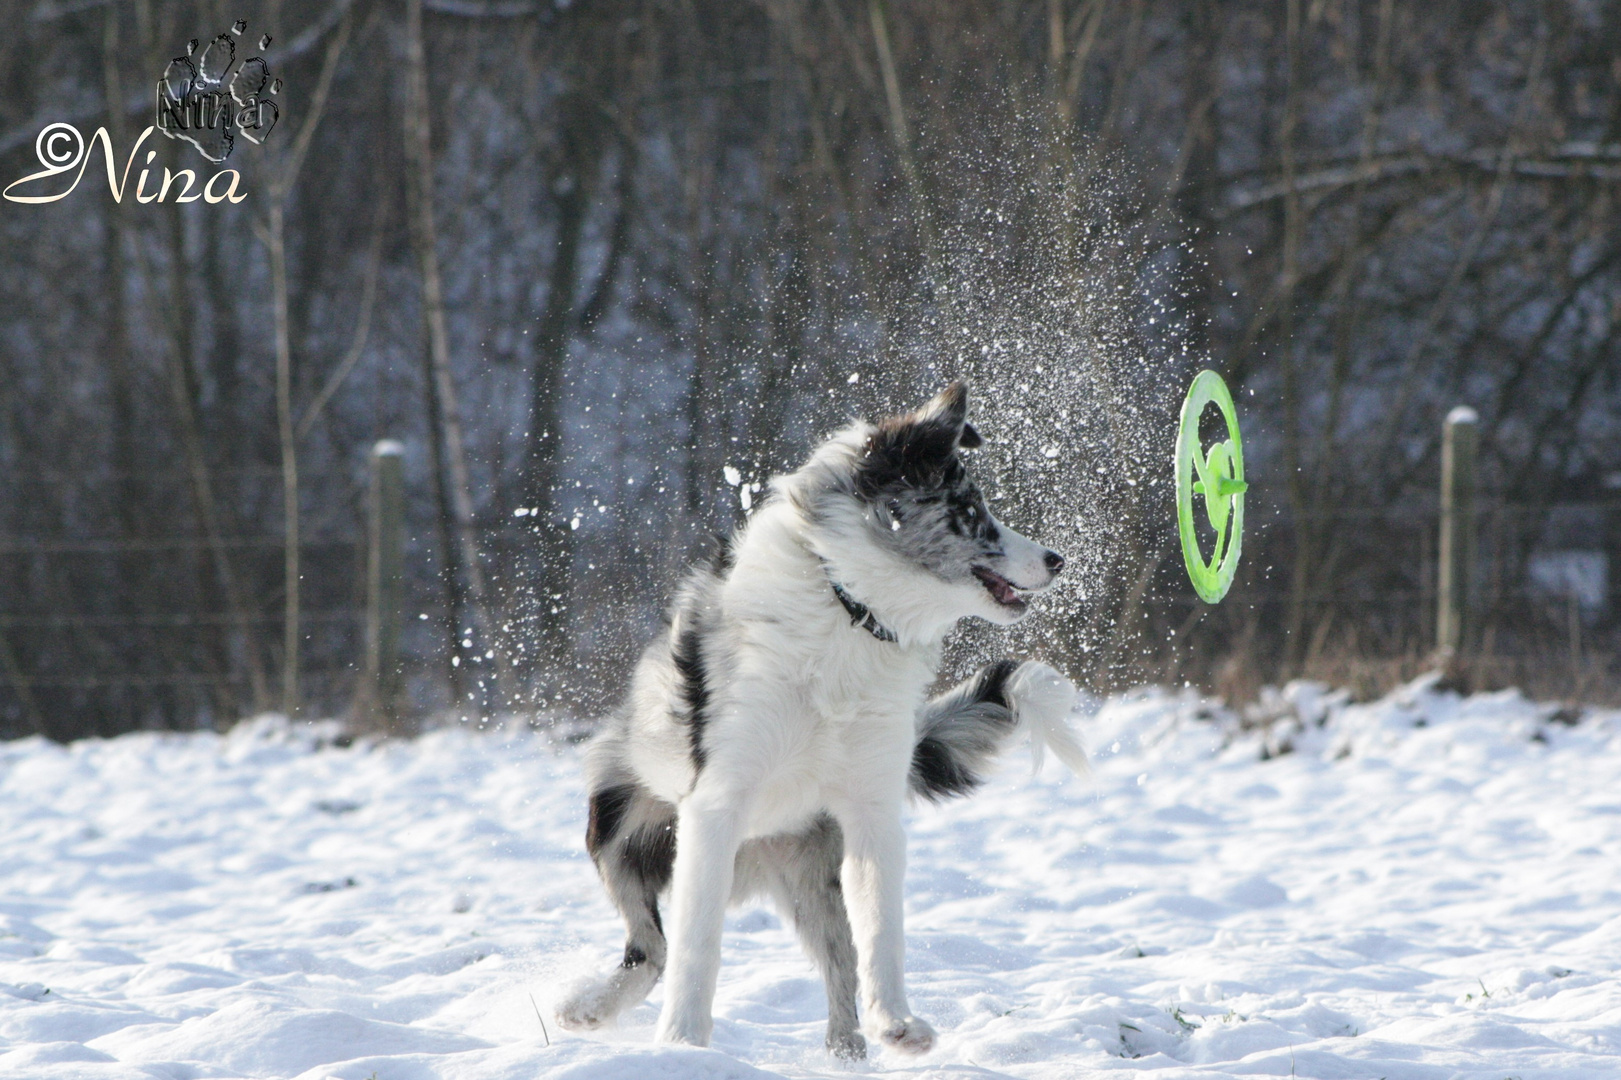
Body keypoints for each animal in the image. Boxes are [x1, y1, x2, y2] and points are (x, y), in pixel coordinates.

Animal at [557, 382, 1089, 1057]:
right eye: (971, 509)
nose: (1057, 559)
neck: (850, 610)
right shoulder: (716, 804)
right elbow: (699, 946)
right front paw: (682, 1043)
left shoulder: (871, 813)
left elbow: (881, 930)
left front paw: (897, 1021)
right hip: (617, 825)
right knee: (650, 948)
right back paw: (588, 1008)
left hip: (813, 874)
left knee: (838, 959)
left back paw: (849, 1051)